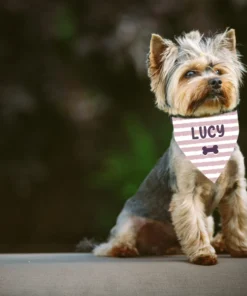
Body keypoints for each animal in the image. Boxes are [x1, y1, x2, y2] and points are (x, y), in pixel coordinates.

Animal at [77, 28, 247, 266]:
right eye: (190, 74)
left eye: (218, 70)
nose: (215, 81)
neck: (206, 126)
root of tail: (155, 245)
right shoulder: (187, 192)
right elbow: (194, 226)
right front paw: (203, 254)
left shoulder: (235, 188)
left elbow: (237, 221)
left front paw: (240, 248)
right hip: (129, 220)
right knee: (110, 245)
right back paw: (124, 248)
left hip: (205, 222)